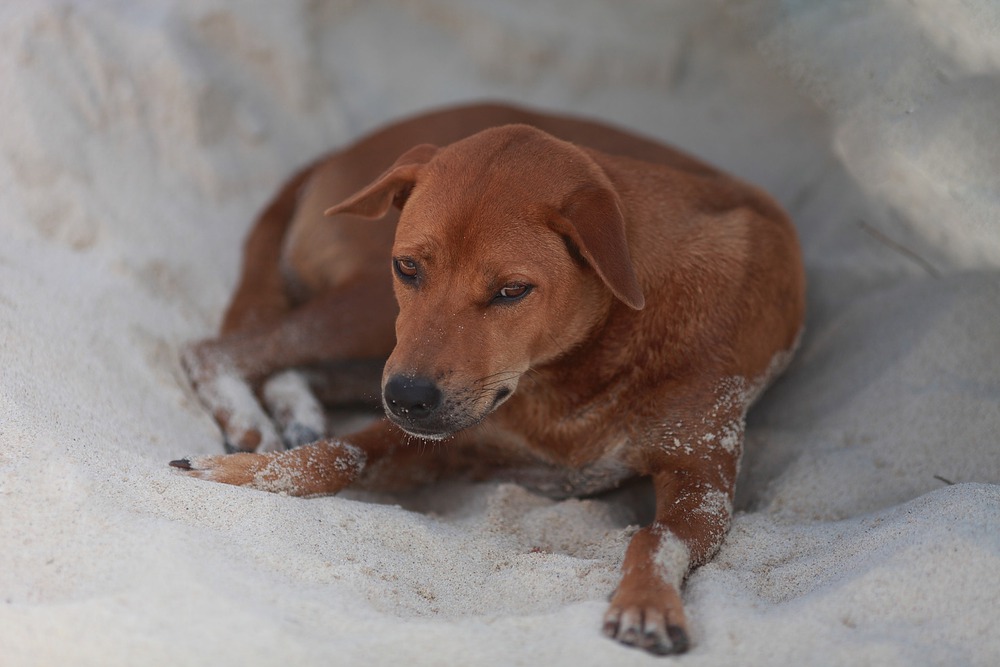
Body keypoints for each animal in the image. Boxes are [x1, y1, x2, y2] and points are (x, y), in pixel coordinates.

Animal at [174, 102, 804, 656]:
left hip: (375, 331)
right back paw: (256, 419)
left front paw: (647, 601)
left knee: (265, 361)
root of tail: (342, 151)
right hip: (375, 314)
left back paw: (291, 408)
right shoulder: (438, 433)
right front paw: (236, 471)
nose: (406, 399)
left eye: (511, 290)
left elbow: (654, 536)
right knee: (213, 352)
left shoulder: (703, 481)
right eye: (409, 266)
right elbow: (335, 456)